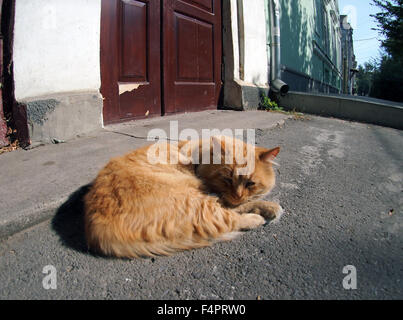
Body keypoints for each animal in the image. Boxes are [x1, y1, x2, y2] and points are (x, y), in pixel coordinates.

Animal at [83, 135, 282, 258]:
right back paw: (259, 217)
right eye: (227, 179)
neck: (198, 158)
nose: (237, 195)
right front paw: (269, 207)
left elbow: (243, 203)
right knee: (229, 219)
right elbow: (236, 208)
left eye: (250, 184)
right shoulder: (216, 196)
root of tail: (98, 230)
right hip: (194, 202)